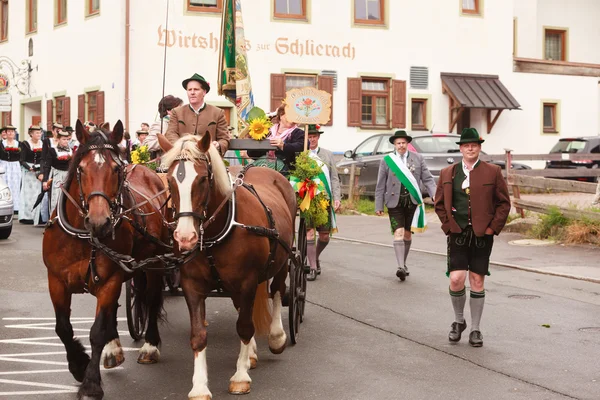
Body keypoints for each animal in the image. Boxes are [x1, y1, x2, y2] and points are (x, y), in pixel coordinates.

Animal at [43, 121, 170, 400]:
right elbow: (62, 328)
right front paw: (78, 365)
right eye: (80, 169)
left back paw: (150, 345)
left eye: (116, 168)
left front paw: (90, 383)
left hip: (155, 263)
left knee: (152, 299)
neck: (83, 237)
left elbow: (97, 331)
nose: (99, 221)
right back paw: (114, 350)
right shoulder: (56, 280)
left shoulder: (110, 279)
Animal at [158, 133, 296, 398]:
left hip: (283, 259)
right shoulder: (192, 285)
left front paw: (240, 376)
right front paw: (199, 386)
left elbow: (244, 326)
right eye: (169, 180)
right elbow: (199, 335)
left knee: (277, 291)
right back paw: (251, 353)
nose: (185, 237)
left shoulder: (247, 282)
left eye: (203, 179)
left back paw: (276, 337)